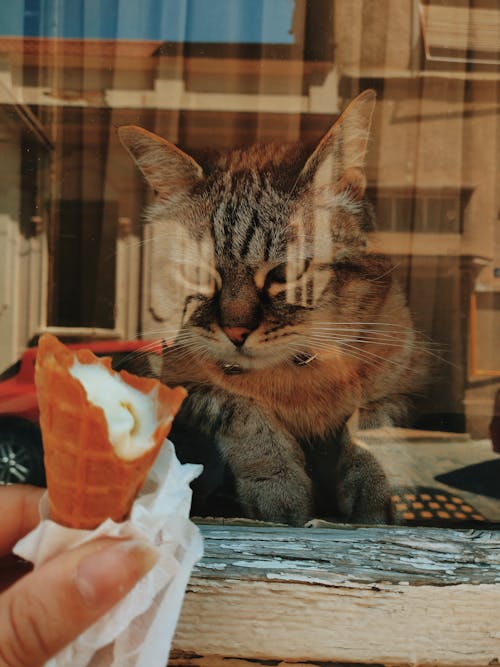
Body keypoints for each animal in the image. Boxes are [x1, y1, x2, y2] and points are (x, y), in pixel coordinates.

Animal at [118, 90, 426, 528]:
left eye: (285, 273)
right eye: (198, 275)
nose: (235, 331)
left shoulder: (409, 385)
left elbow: (373, 420)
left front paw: (375, 488)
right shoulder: (169, 381)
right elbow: (246, 414)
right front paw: (280, 490)